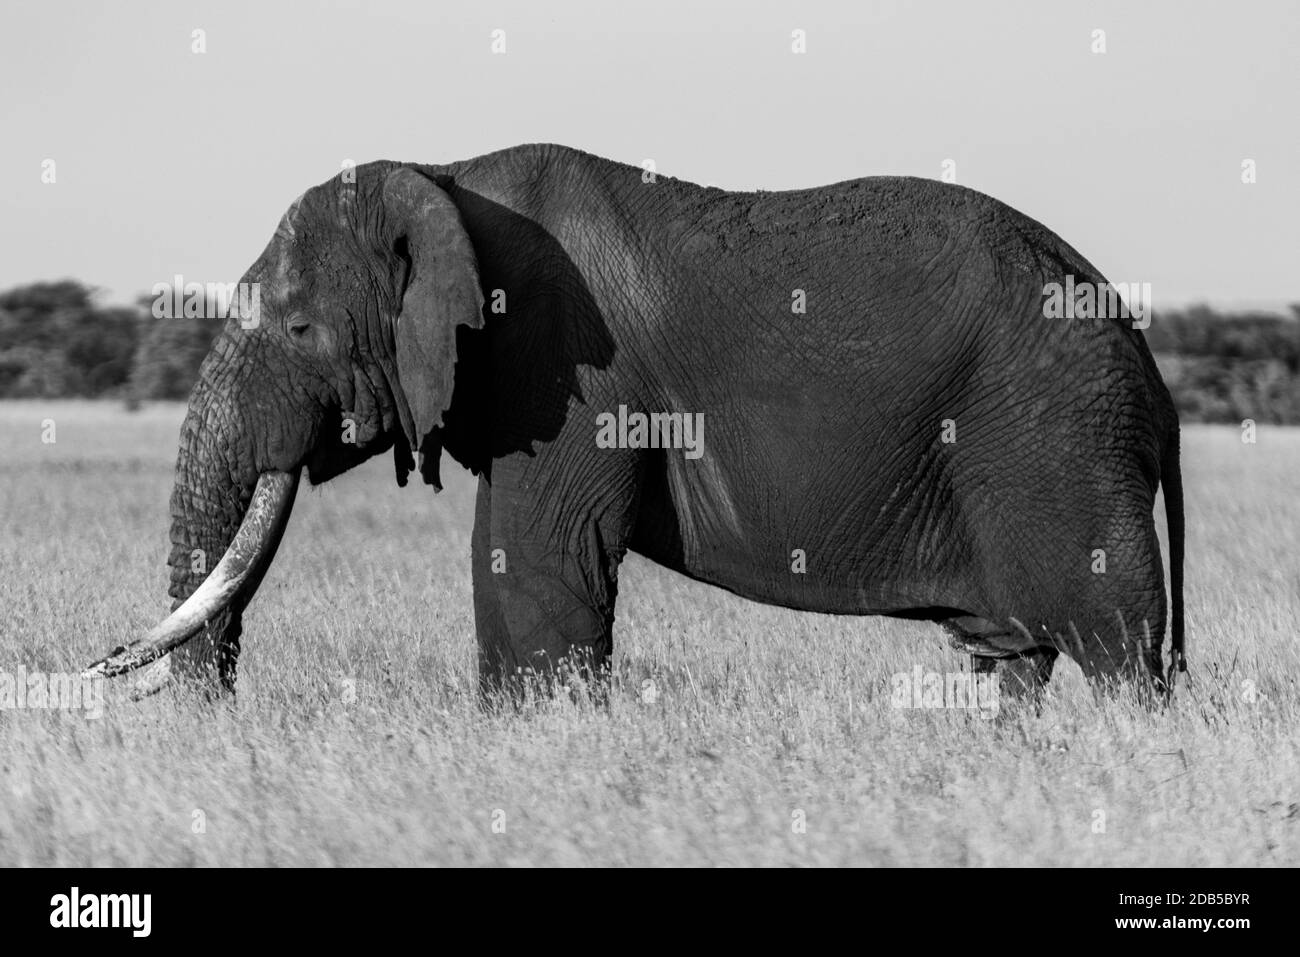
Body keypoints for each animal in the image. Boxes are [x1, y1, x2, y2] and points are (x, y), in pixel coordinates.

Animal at [85, 143, 1185, 701]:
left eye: (301, 327)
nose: (102, 668)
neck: (441, 177)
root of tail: (1145, 360)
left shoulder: (570, 369)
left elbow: (538, 558)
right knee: (1016, 659)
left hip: (1052, 436)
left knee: (1116, 644)